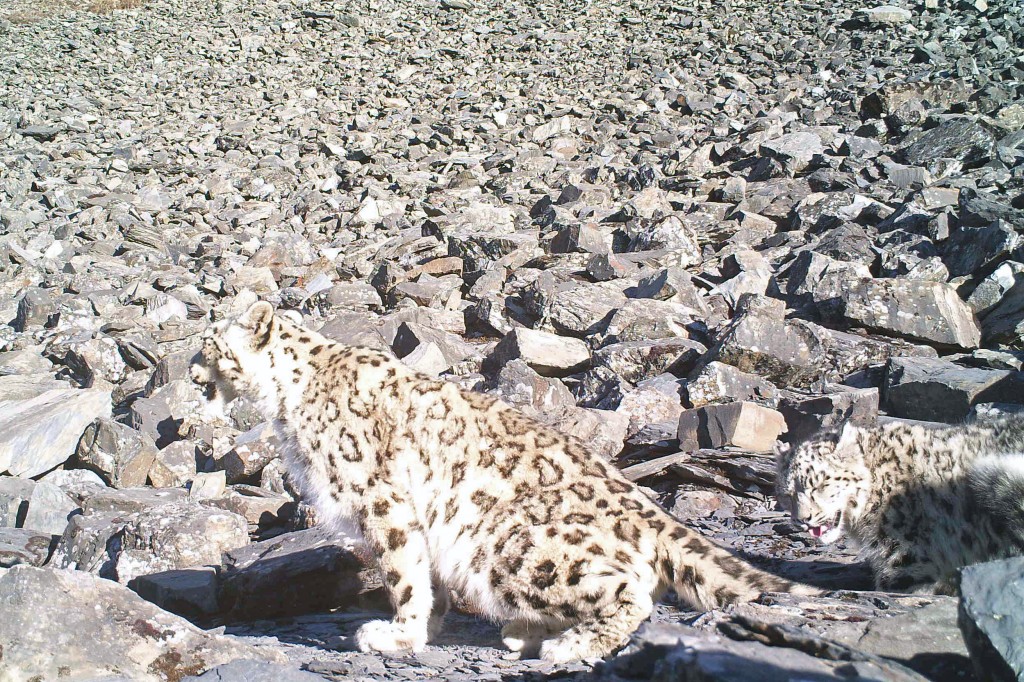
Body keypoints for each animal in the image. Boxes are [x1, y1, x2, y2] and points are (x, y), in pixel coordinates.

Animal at [190, 301, 815, 659]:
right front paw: (426, 627)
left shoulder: (381, 498)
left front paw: (397, 635)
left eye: (209, 344)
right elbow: (426, 575)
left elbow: (402, 570)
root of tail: (647, 509)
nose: (192, 372)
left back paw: (565, 645)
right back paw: (524, 632)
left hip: (507, 544)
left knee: (632, 592)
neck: (285, 402)